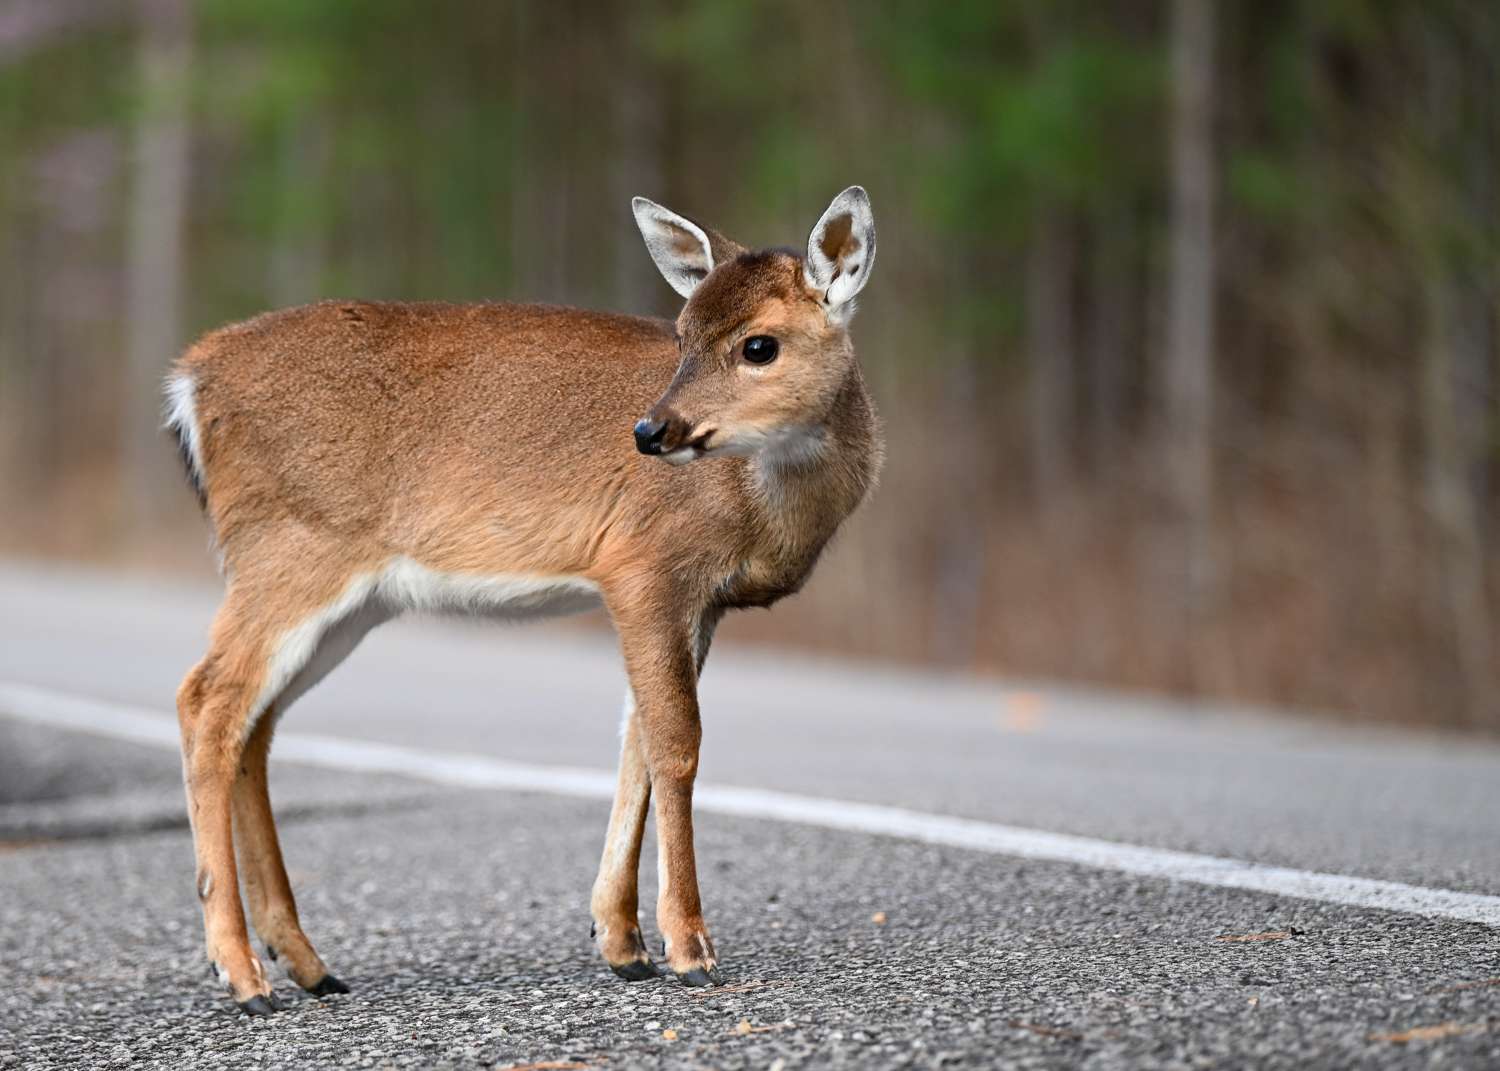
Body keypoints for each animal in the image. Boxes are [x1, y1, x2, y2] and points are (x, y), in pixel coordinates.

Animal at [165, 187, 881, 1015]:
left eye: (759, 345)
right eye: (681, 335)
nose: (650, 429)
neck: (765, 502)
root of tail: (190, 380)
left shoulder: (700, 602)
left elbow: (636, 740)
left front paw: (622, 941)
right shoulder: (643, 565)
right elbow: (675, 743)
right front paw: (690, 949)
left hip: (343, 601)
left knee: (255, 725)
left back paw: (308, 964)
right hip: (288, 552)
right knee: (206, 699)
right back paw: (242, 973)